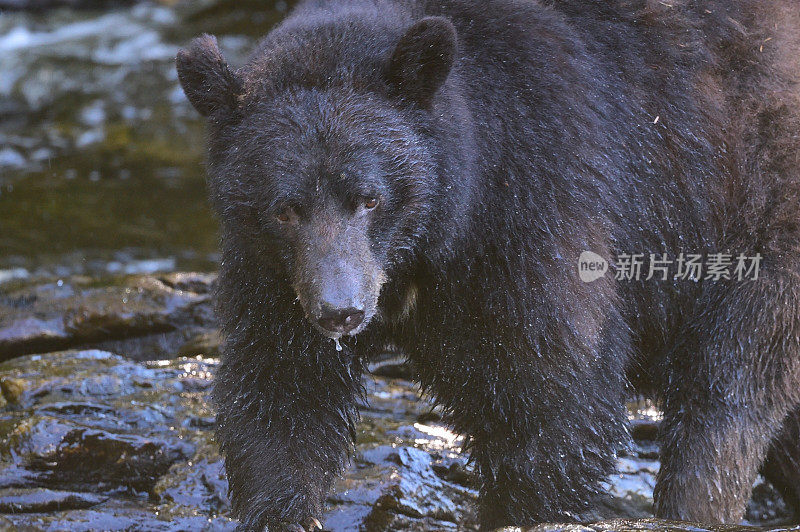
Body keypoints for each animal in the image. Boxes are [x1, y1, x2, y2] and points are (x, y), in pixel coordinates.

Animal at [178, 1, 800, 528]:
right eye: (285, 207)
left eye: (369, 197)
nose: (340, 310)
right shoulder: (275, 271)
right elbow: (281, 386)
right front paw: (281, 508)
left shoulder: (541, 199)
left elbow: (552, 399)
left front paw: (520, 506)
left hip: (751, 205)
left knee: (729, 385)